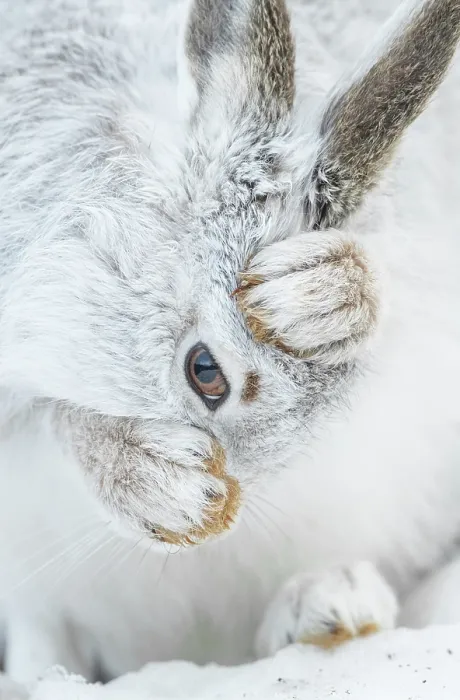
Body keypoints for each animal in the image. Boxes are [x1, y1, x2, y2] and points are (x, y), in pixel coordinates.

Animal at [0, 0, 460, 685]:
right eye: (205, 371)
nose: (224, 509)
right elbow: (56, 419)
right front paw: (165, 487)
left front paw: (327, 291)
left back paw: (330, 604)